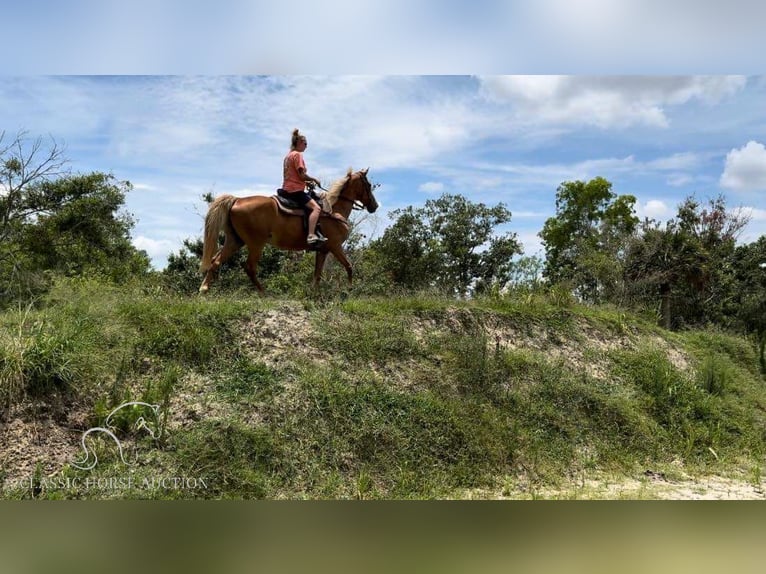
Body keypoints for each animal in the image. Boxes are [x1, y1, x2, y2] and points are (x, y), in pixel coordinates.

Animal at [198, 166, 378, 292]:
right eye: (368, 185)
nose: (374, 206)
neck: (334, 210)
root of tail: (237, 200)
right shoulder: (335, 246)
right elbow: (349, 266)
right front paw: (349, 289)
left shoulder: (323, 250)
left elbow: (317, 275)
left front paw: (314, 293)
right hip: (256, 243)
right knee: (249, 267)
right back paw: (264, 293)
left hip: (235, 241)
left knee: (216, 261)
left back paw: (204, 288)